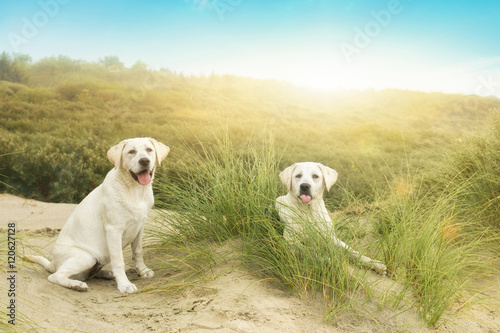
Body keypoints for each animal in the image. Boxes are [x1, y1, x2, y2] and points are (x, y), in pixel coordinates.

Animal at [24, 136, 170, 292]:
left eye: (149, 150)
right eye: (131, 152)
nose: (144, 161)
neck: (135, 190)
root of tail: (53, 263)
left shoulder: (139, 226)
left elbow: (138, 252)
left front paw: (143, 271)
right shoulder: (114, 230)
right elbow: (118, 260)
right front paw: (124, 284)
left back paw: (106, 273)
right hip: (86, 257)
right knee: (55, 276)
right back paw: (77, 285)